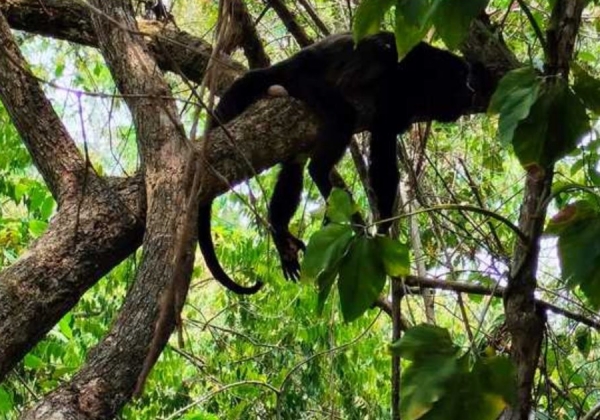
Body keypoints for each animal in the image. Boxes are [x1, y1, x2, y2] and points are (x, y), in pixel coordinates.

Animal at [197, 32, 492, 292]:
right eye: (462, 80)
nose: (471, 90)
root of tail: (285, 65)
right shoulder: (392, 80)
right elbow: (380, 149)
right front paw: (382, 228)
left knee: (294, 167)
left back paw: (280, 232)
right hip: (303, 82)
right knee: (341, 118)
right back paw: (326, 184)